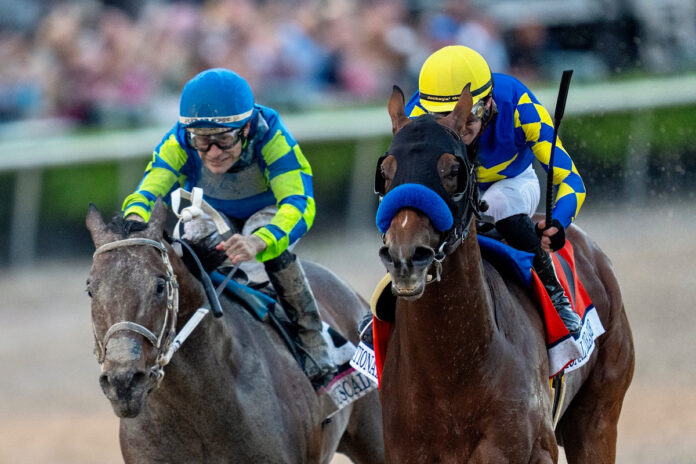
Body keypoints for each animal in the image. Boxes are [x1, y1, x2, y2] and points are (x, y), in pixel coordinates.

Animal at [376, 88, 636, 464]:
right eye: (385, 171)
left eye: (453, 171)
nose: (405, 257)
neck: (451, 370)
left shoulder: (534, 450)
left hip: (598, 417)